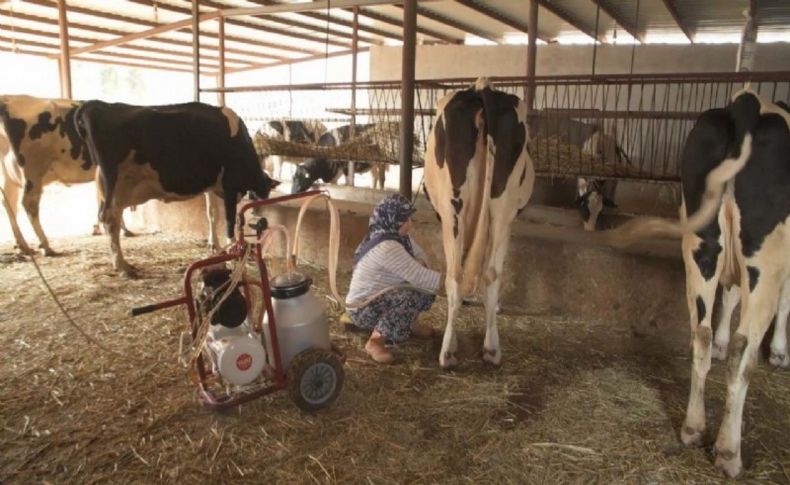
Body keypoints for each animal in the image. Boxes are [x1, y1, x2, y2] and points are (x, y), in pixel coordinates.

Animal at [424, 78, 536, 366]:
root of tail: (481, 87)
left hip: (453, 209)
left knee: (455, 274)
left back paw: (449, 351)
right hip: (501, 210)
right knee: (491, 273)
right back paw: (491, 349)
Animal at [604, 90, 788, 476]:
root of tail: (746, 103)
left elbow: (728, 298)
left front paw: (721, 342)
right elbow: (784, 302)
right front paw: (780, 352)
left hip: (700, 245)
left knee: (700, 333)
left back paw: (692, 428)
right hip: (764, 259)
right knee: (743, 351)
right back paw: (729, 451)